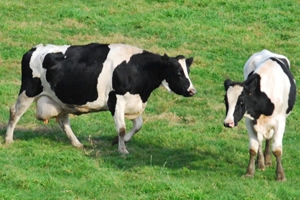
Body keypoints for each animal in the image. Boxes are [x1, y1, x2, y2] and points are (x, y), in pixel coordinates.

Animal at [5, 43, 197, 154]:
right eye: (178, 73)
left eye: (188, 71)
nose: (192, 90)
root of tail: (34, 49)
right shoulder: (116, 101)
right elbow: (121, 128)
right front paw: (122, 149)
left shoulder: (134, 103)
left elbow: (138, 126)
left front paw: (119, 141)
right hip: (28, 92)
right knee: (14, 112)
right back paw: (8, 139)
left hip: (61, 100)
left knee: (63, 121)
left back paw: (77, 144)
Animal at [223, 49, 296, 180]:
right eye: (225, 101)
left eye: (242, 102)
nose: (228, 123)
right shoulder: (249, 121)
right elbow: (253, 148)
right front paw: (250, 172)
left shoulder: (280, 122)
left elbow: (277, 150)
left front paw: (280, 175)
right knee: (261, 141)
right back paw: (261, 163)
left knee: (268, 139)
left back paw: (267, 160)